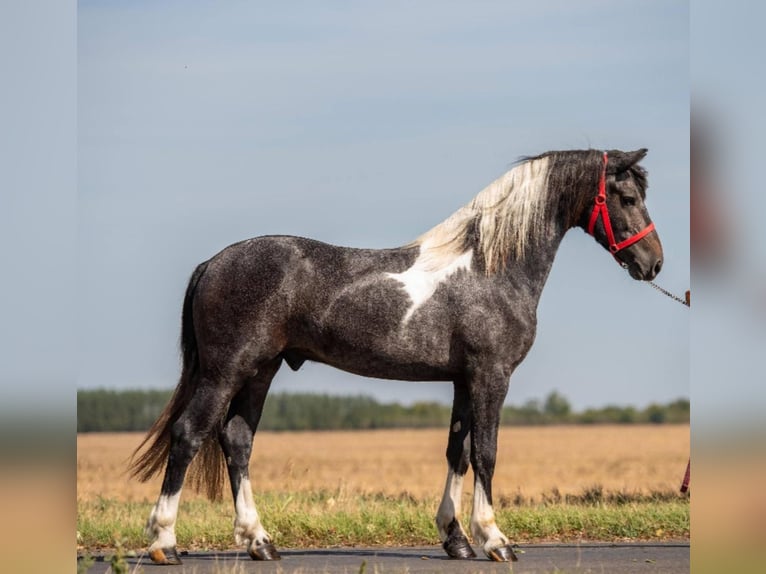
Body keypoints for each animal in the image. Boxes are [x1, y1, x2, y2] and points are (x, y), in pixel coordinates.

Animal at [129, 148, 663, 564]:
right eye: (628, 198)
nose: (654, 263)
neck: (490, 268)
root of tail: (213, 263)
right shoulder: (491, 376)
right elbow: (486, 454)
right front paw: (494, 539)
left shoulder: (463, 379)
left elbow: (457, 452)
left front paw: (456, 540)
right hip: (226, 370)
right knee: (189, 435)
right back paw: (165, 543)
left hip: (260, 371)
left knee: (237, 441)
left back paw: (259, 541)